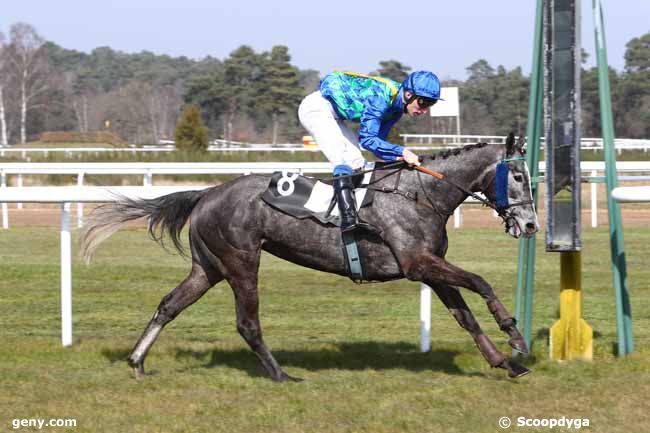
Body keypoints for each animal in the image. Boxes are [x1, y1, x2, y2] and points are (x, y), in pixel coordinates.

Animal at [81, 133, 536, 380]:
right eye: (517, 176)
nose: (530, 224)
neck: (419, 195)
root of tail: (207, 192)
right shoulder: (416, 264)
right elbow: (481, 282)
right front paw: (515, 337)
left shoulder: (429, 269)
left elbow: (465, 316)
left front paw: (505, 362)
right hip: (241, 262)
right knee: (247, 323)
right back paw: (281, 374)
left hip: (207, 267)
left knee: (169, 305)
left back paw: (137, 361)